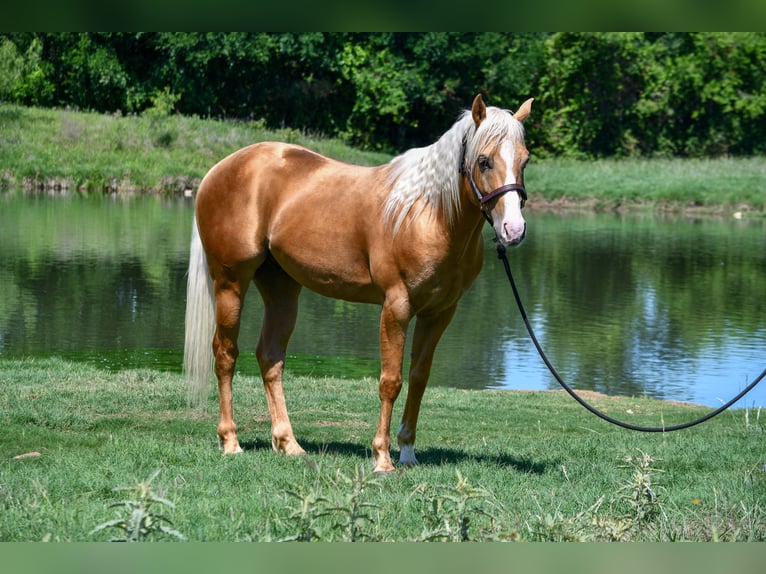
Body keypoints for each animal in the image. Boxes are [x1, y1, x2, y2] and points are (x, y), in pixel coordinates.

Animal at [184, 94, 533, 473]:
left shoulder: (439, 313)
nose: (513, 230)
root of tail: (218, 170)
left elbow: (419, 378)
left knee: (270, 356)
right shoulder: (396, 307)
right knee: (225, 354)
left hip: (281, 288)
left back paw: (288, 443)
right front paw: (382, 458)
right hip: (230, 282)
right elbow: (391, 381)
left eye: (525, 160)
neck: (427, 214)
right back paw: (231, 442)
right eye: (484, 161)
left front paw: (407, 452)